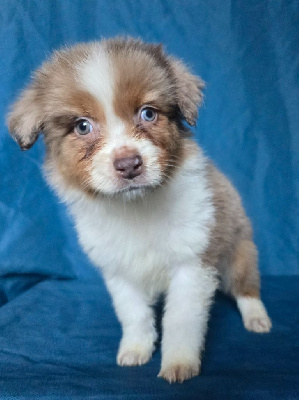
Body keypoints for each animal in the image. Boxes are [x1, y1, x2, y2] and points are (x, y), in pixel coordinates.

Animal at [8, 38, 274, 384]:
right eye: (82, 126)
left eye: (148, 113)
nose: (128, 164)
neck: (136, 209)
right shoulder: (119, 270)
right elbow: (133, 314)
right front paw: (136, 349)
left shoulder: (192, 264)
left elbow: (181, 321)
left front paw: (178, 362)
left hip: (237, 251)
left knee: (246, 287)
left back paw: (257, 317)